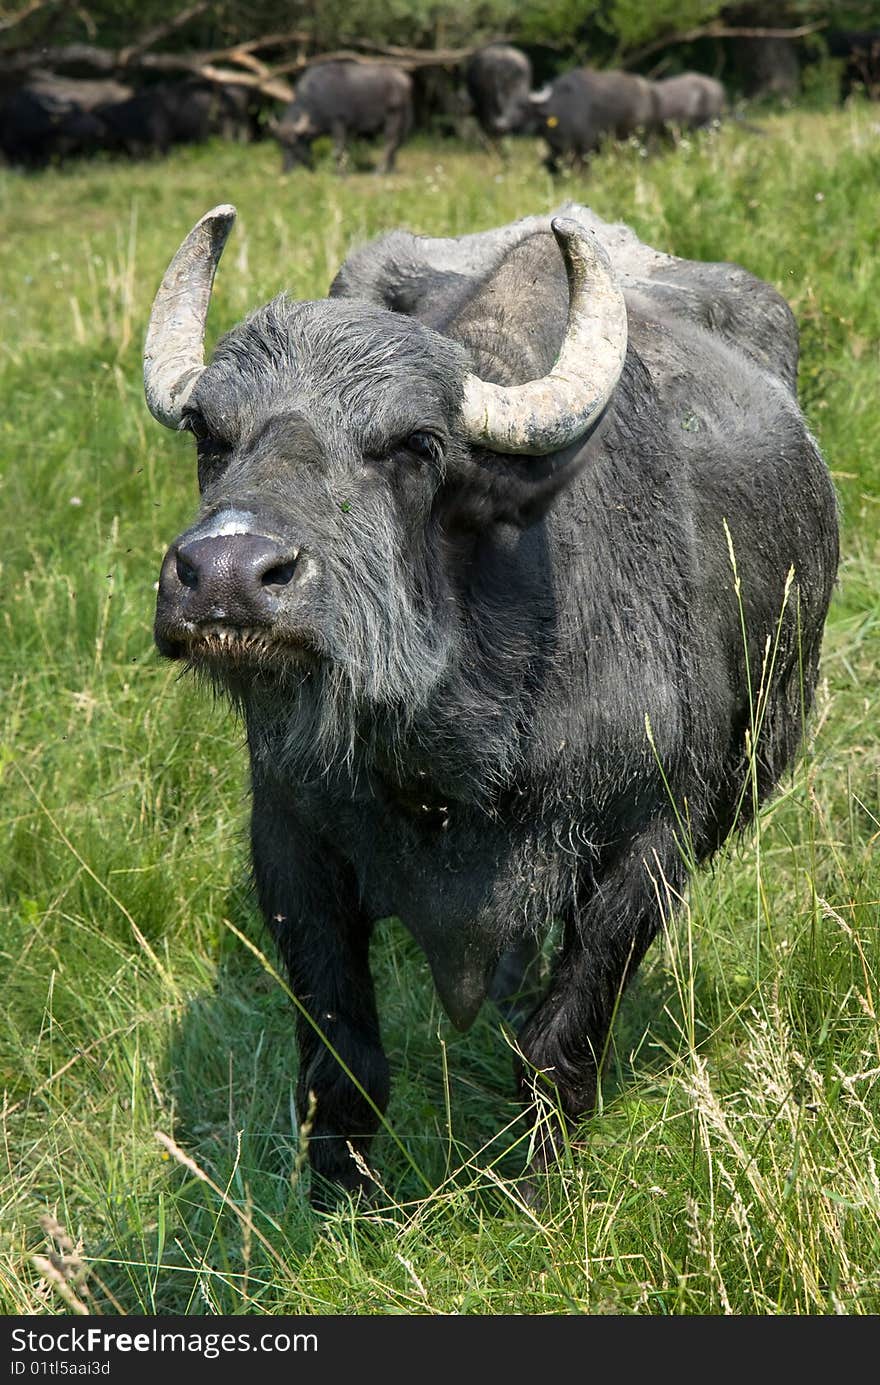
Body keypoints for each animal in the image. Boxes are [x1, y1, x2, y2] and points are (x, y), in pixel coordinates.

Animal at [144, 200, 842, 1207]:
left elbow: (559, 1041)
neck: (454, 765)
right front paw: (340, 1198)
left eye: (415, 445)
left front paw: (542, 1187)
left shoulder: (652, 841)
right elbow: (340, 1060)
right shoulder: (290, 839)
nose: (227, 574)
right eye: (208, 431)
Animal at [271, 59, 412, 173]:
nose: (285, 170)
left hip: (394, 116)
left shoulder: (338, 123)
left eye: (293, 143)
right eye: (281, 144)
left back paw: (379, 171)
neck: (316, 97)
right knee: (396, 143)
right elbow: (342, 150)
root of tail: (404, 80)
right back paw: (391, 170)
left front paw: (340, 173)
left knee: (390, 142)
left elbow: (338, 150)